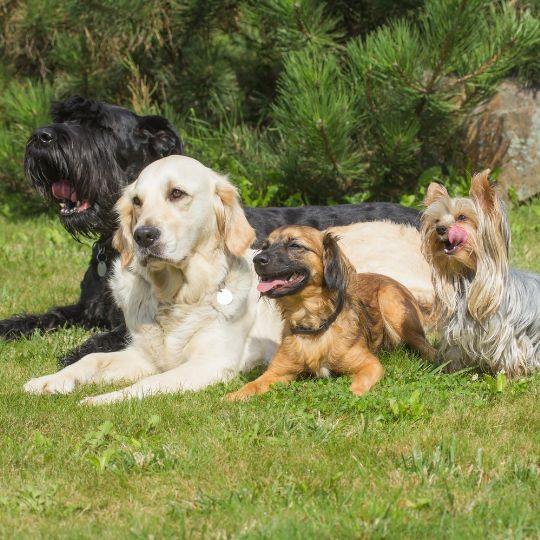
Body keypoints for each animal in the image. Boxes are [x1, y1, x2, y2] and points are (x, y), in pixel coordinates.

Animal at [0, 97, 420, 368]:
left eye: (99, 127)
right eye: (62, 116)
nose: (42, 136)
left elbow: (112, 336)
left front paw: (77, 353)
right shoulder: (85, 307)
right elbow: (42, 316)